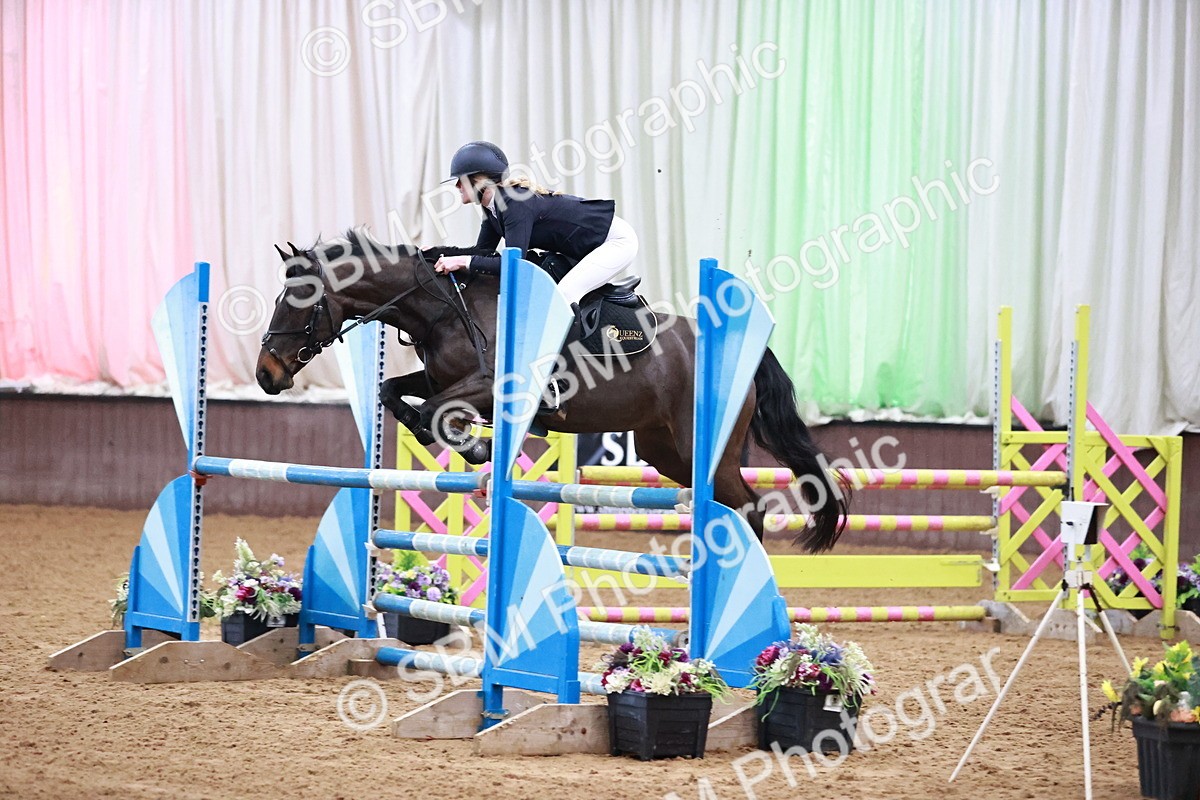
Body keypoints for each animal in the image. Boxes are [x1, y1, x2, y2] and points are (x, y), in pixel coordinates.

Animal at [255, 228, 849, 553]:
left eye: (298, 300)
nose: (266, 374)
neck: (444, 309)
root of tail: (746, 349)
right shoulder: (441, 377)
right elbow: (393, 394)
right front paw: (469, 444)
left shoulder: (489, 385)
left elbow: (438, 412)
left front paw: (475, 445)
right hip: (664, 449)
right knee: (729, 504)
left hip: (708, 447)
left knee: (749, 507)